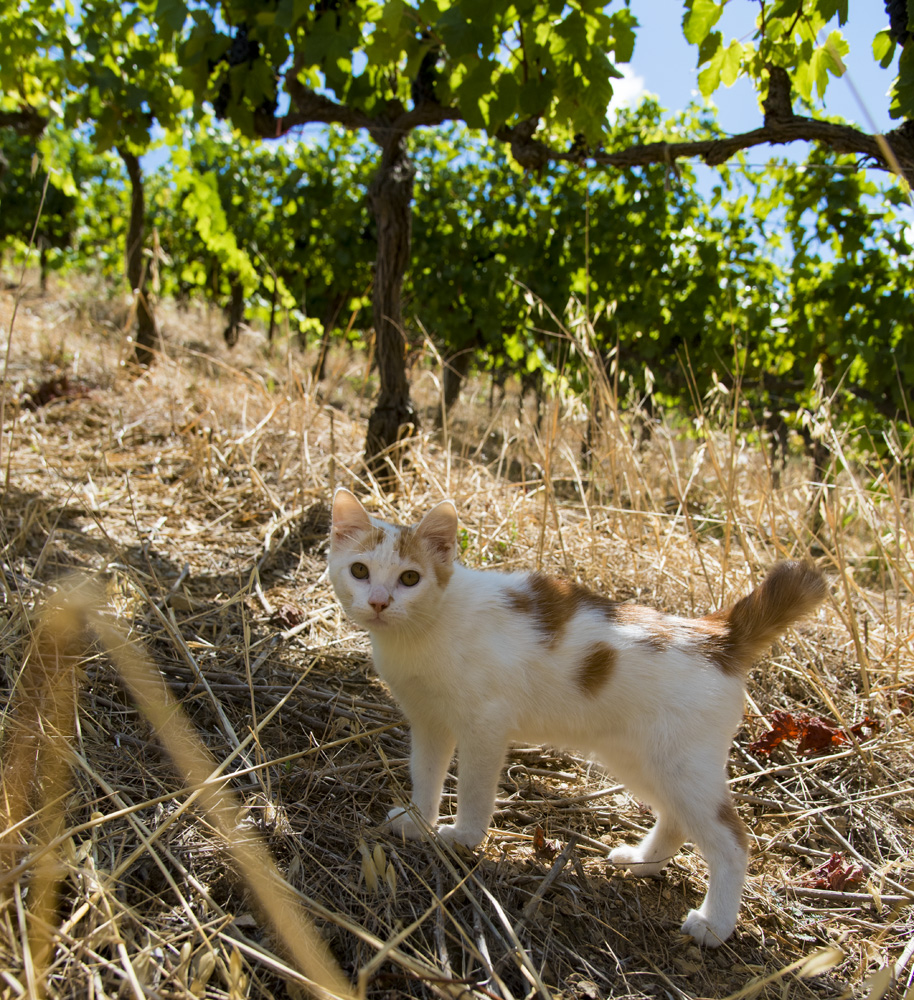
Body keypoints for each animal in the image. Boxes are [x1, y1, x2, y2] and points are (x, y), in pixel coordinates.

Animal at [324, 488, 824, 948]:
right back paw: (644, 861)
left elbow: (473, 790)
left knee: (731, 842)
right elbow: (425, 776)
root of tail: (716, 635)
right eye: (360, 571)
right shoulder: (429, 723)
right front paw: (419, 821)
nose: (380, 602)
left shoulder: (485, 726)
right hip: (642, 761)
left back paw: (714, 925)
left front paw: (463, 836)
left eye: (410, 578)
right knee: (676, 818)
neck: (424, 629)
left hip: (682, 766)